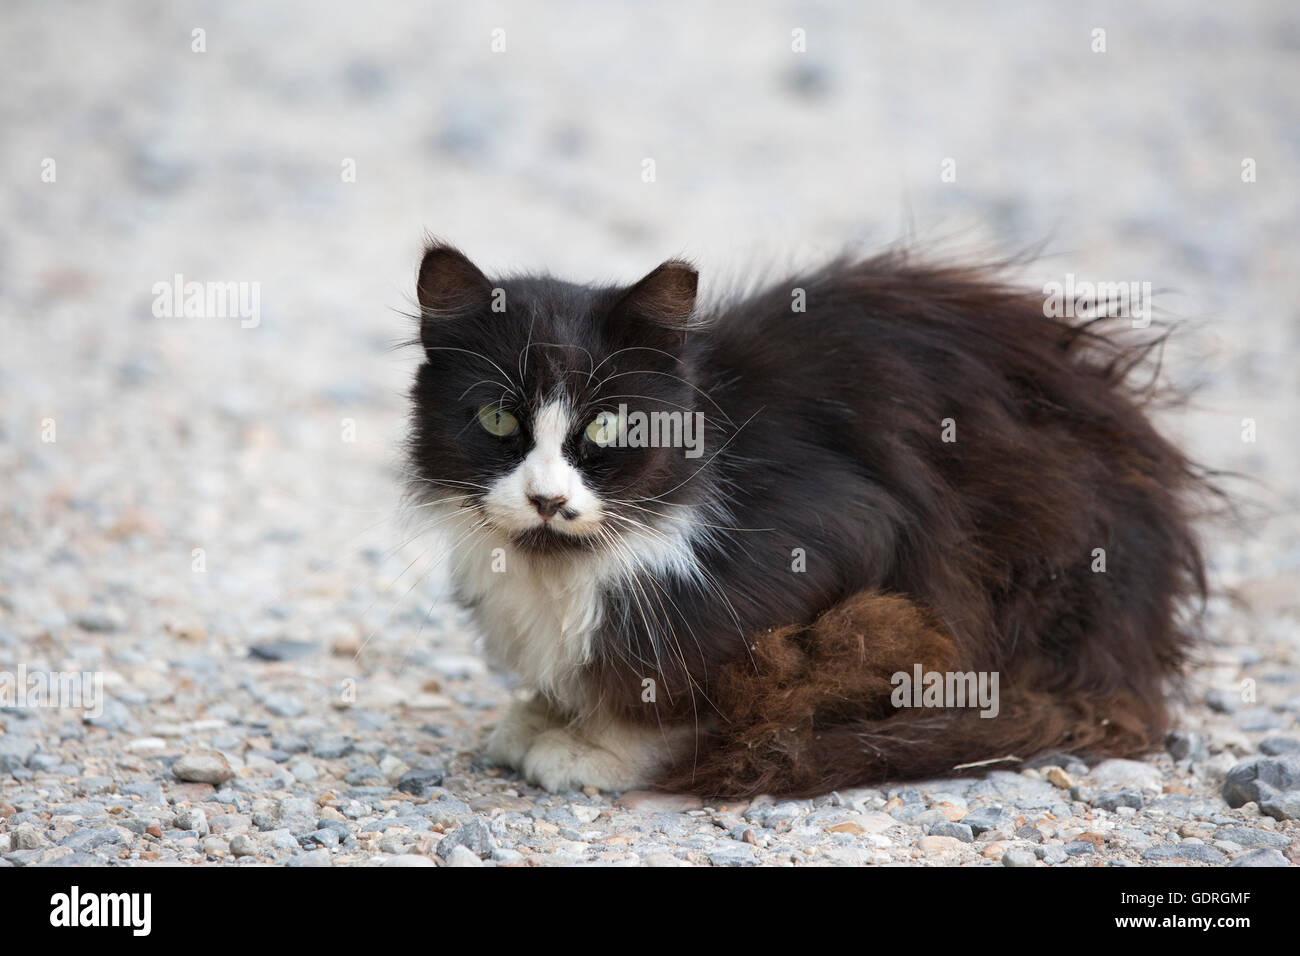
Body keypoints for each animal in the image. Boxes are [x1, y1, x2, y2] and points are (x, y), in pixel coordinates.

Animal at [405, 239, 1206, 801]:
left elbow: (691, 685)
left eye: (607, 429)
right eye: (497, 418)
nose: (546, 499)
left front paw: (593, 746)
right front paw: (542, 715)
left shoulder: (845, 525)